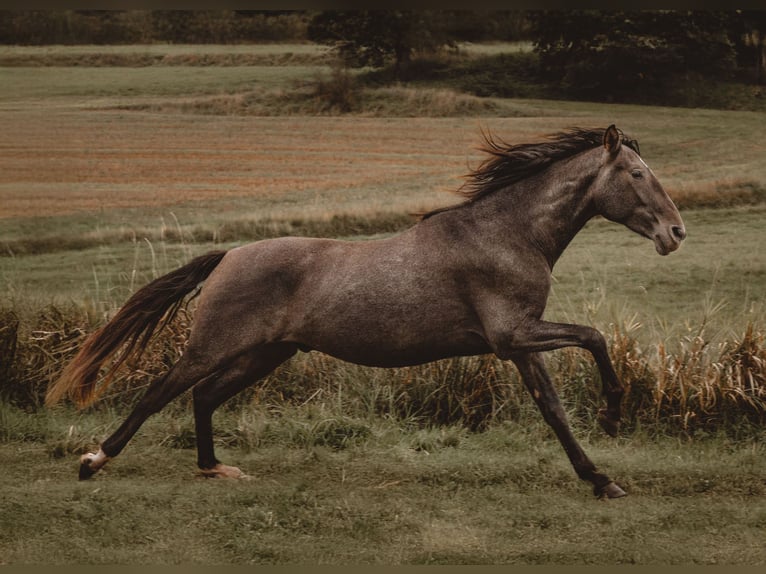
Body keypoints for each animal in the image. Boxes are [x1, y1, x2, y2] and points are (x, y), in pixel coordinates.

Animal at [46, 125, 686, 498]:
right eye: (637, 175)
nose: (676, 233)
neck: (507, 234)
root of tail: (229, 254)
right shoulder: (514, 335)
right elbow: (595, 337)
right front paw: (612, 416)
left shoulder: (520, 343)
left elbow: (552, 409)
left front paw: (601, 479)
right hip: (215, 344)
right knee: (161, 391)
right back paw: (93, 461)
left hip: (268, 353)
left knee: (203, 397)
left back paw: (215, 469)